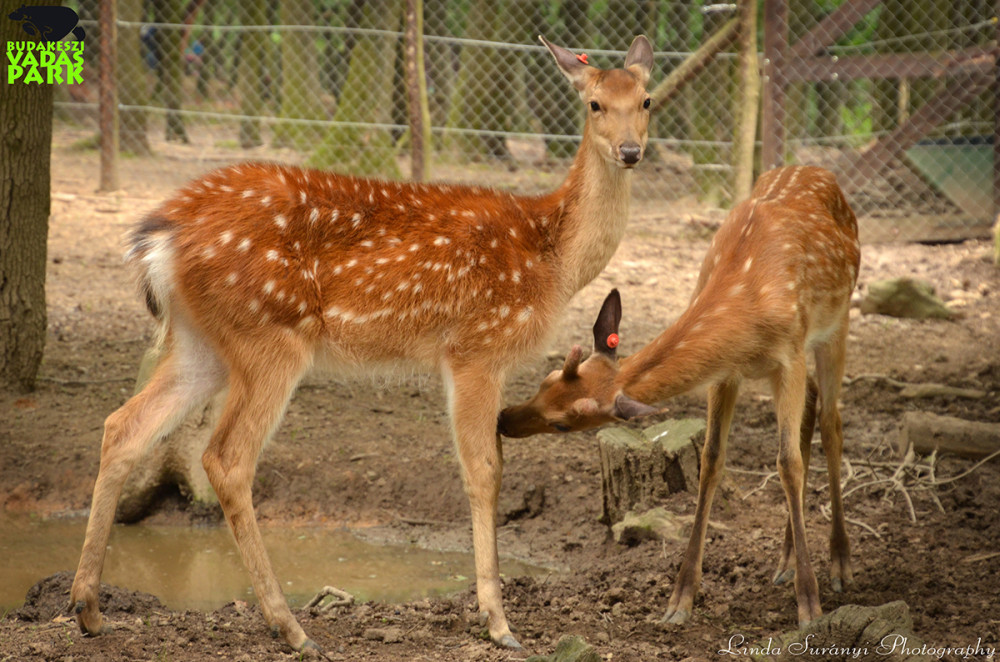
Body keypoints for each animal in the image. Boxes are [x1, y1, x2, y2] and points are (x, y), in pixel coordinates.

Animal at [66, 35, 652, 652]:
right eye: (593, 104)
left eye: (646, 99)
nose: (631, 150)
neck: (551, 259)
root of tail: (161, 237)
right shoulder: (477, 346)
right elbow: (485, 472)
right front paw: (498, 623)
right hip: (270, 335)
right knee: (225, 458)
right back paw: (291, 627)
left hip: (200, 341)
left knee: (123, 426)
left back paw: (89, 609)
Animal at [498, 166, 860, 628]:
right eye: (545, 381)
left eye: (563, 423)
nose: (503, 419)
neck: (748, 303)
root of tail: (821, 171)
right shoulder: (728, 371)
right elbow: (711, 459)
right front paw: (680, 599)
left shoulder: (790, 353)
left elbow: (787, 463)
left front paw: (810, 608)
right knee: (813, 404)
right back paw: (785, 562)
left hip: (837, 321)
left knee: (832, 422)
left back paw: (840, 565)